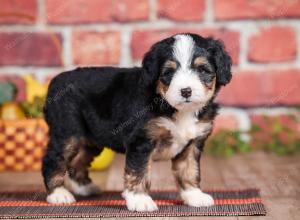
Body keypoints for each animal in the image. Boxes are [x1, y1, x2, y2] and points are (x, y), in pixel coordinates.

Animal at [41, 32, 232, 211]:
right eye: (168, 73)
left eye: (202, 70)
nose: (186, 91)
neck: (171, 107)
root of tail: (55, 81)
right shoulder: (141, 141)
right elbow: (139, 171)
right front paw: (140, 200)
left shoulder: (192, 144)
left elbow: (189, 170)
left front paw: (194, 195)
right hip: (68, 133)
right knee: (53, 159)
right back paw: (58, 194)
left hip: (90, 140)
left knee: (77, 161)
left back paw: (85, 187)